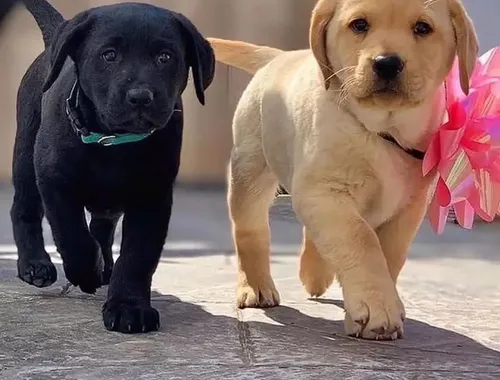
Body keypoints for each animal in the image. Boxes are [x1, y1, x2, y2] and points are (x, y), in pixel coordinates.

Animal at [12, 0, 214, 332]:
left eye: (165, 57)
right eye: (109, 55)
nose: (141, 97)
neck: (115, 141)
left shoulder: (153, 196)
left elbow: (137, 255)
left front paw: (128, 307)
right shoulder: (55, 182)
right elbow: (72, 236)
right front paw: (86, 272)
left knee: (101, 228)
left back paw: (106, 266)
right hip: (26, 157)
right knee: (24, 210)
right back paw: (35, 264)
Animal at [209, 0, 478, 340]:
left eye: (422, 28)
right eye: (359, 25)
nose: (387, 63)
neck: (382, 129)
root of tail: (279, 57)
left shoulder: (409, 206)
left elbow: (389, 253)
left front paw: (380, 301)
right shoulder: (324, 190)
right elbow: (360, 239)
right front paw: (377, 306)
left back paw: (314, 274)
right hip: (250, 168)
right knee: (250, 231)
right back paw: (256, 287)